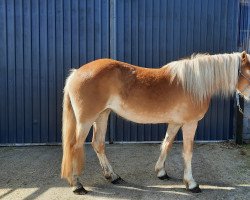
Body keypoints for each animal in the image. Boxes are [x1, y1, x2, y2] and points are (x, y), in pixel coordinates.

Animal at [60, 51, 250, 194]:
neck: (195, 84)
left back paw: (113, 176)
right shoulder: (190, 123)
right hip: (85, 120)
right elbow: (188, 152)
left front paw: (161, 172)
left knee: (98, 144)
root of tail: (76, 73)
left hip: (102, 115)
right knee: (73, 146)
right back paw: (77, 185)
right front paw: (191, 184)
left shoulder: (175, 123)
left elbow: (167, 144)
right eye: (249, 73)